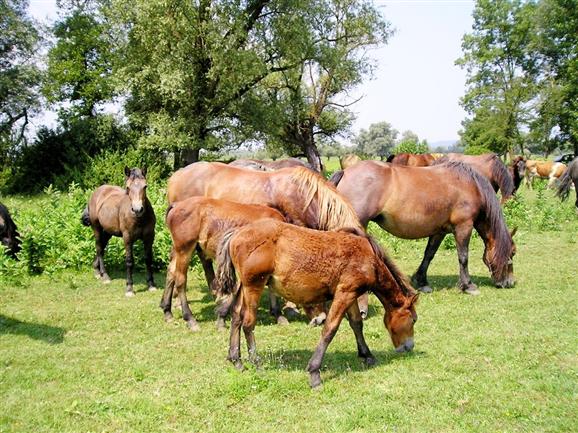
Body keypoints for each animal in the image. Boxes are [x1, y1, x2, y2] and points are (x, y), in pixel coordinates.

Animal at [81, 166, 156, 296]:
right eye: (128, 187)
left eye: (145, 186)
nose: (138, 209)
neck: (139, 219)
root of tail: (97, 192)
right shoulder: (127, 238)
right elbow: (129, 261)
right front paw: (129, 288)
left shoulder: (149, 237)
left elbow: (148, 259)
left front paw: (151, 284)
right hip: (96, 228)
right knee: (99, 248)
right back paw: (105, 276)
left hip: (107, 233)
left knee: (102, 247)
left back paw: (97, 271)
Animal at [160, 197, 288, 330]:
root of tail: (176, 205)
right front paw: (222, 318)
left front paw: (278, 314)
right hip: (184, 249)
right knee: (180, 280)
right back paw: (190, 319)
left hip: (178, 250)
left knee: (171, 273)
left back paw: (167, 312)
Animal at [214, 219, 416, 388]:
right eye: (414, 320)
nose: (409, 346)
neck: (369, 258)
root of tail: (236, 233)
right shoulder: (345, 293)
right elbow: (330, 330)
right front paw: (314, 373)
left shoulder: (350, 294)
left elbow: (356, 324)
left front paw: (367, 355)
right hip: (254, 285)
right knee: (248, 323)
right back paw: (256, 362)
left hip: (242, 287)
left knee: (236, 316)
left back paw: (237, 360)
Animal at [330, 160, 516, 296]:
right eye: (512, 253)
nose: (509, 283)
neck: (471, 185)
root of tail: (345, 172)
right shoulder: (464, 226)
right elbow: (463, 257)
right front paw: (468, 285)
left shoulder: (440, 231)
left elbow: (429, 254)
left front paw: (421, 282)